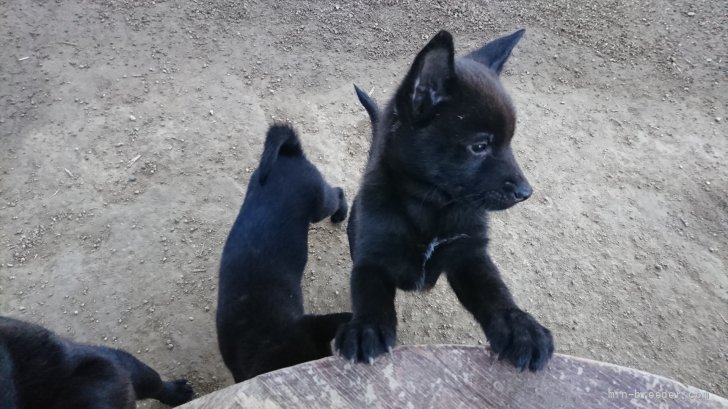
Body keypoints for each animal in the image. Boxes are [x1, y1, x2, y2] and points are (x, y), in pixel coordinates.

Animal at [338, 30, 556, 372]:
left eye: (510, 141)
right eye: (479, 146)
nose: (526, 192)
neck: (433, 207)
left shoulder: (469, 255)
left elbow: (495, 290)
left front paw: (520, 328)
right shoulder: (372, 257)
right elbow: (368, 292)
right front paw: (366, 328)